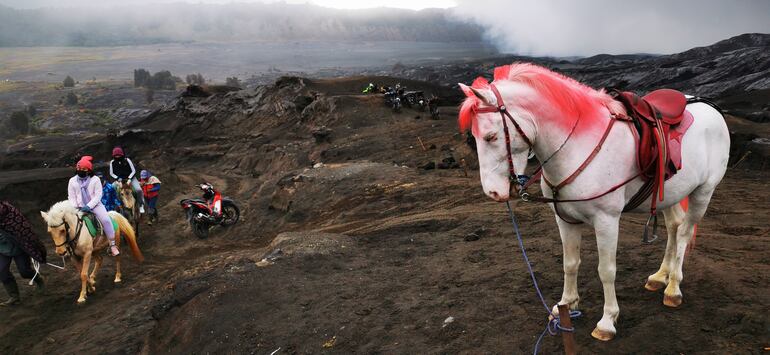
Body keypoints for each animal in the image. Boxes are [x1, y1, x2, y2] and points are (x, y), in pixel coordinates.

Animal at [460, 63, 728, 342]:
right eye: (472, 137)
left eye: (491, 136)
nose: (493, 192)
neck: (577, 146)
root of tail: (709, 106)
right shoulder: (565, 219)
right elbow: (570, 264)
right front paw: (566, 305)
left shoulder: (606, 221)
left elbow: (606, 270)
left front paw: (607, 321)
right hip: (670, 194)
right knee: (674, 227)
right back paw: (659, 276)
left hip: (703, 192)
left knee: (685, 232)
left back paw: (673, 287)